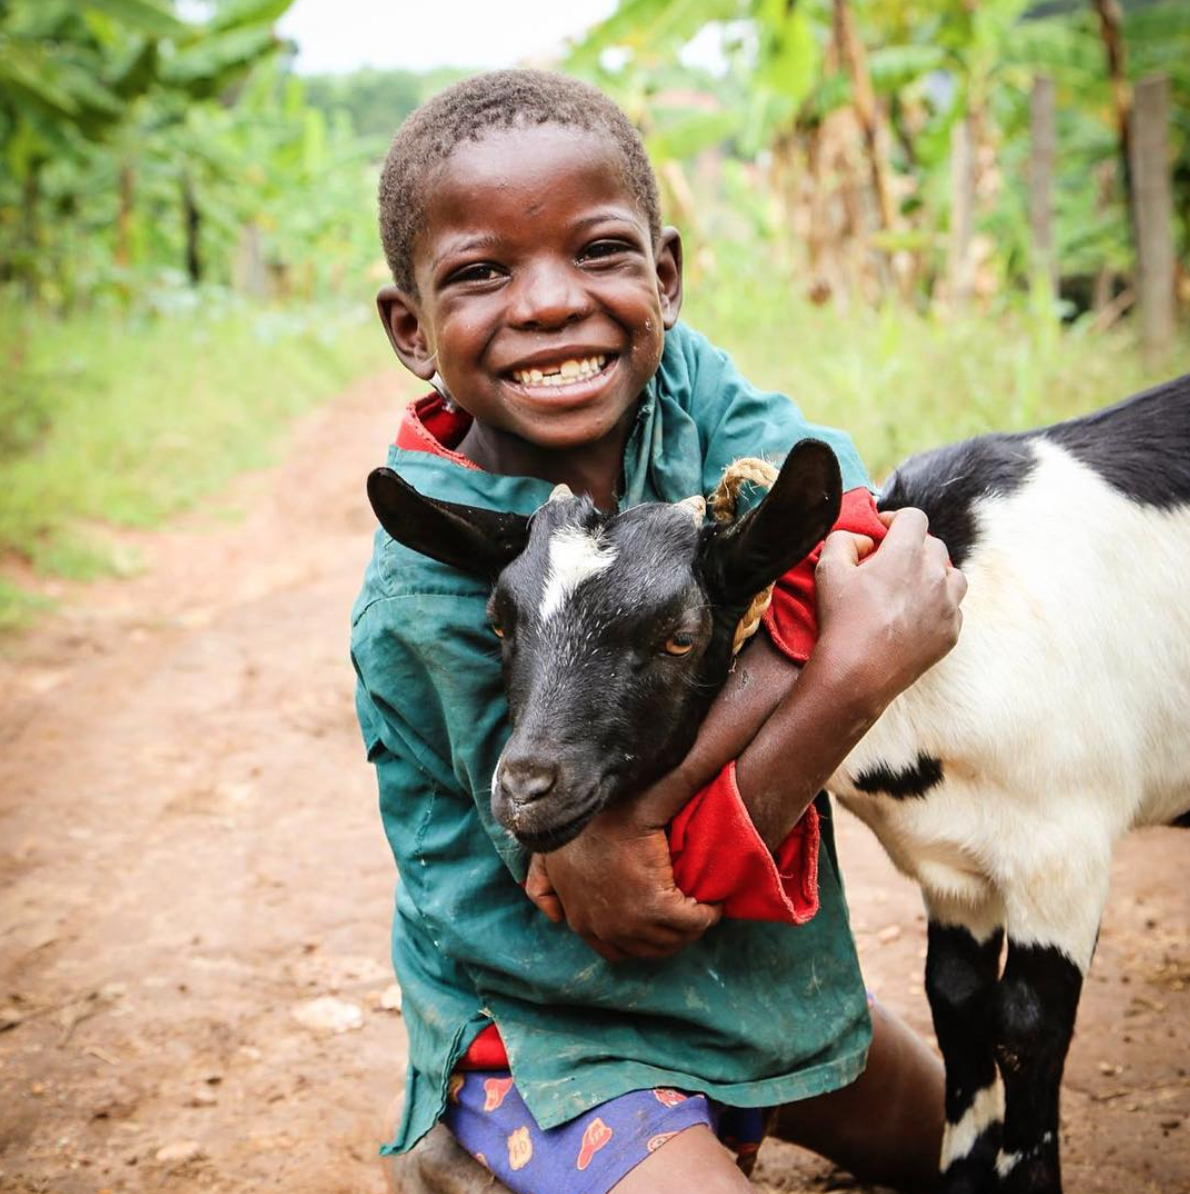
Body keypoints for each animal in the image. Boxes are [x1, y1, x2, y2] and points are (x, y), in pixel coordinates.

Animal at [370, 372, 1188, 1194]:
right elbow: (956, 1006)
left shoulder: (1062, 851)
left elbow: (1024, 1028)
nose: (526, 787)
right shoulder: (955, 868)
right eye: (498, 625)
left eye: (679, 637)